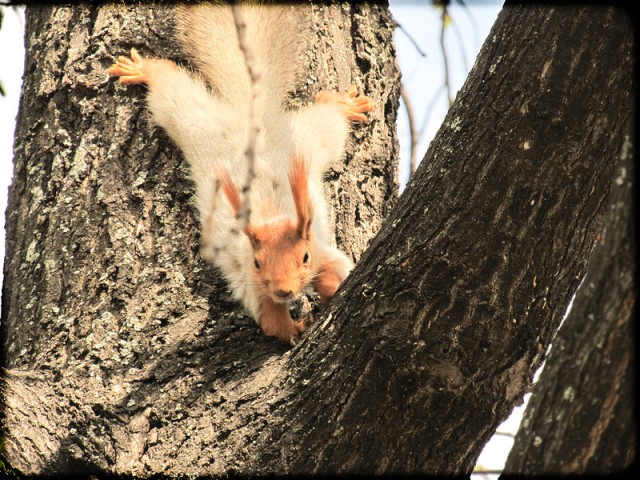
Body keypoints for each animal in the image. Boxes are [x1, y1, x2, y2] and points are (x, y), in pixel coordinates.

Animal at [107, 0, 372, 344]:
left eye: (304, 257)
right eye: (259, 264)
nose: (284, 291)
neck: (270, 217)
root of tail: (251, 112)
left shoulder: (323, 252)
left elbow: (336, 274)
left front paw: (326, 288)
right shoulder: (252, 283)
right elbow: (272, 322)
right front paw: (296, 328)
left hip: (309, 138)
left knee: (329, 119)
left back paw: (343, 104)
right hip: (193, 121)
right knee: (169, 86)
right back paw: (143, 70)